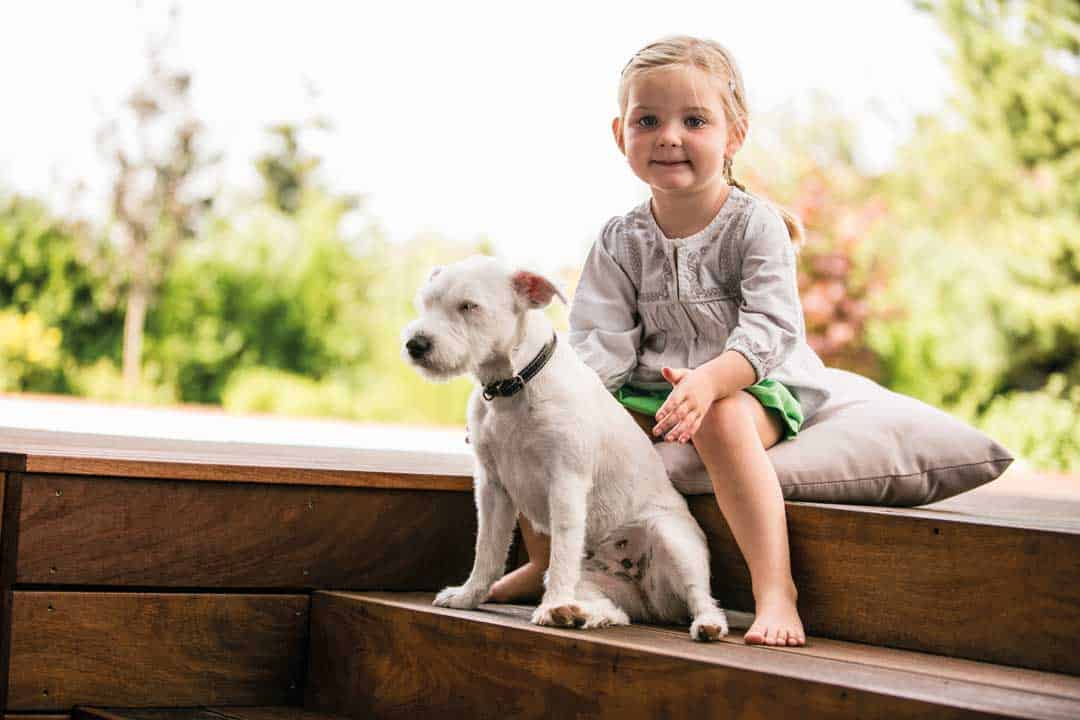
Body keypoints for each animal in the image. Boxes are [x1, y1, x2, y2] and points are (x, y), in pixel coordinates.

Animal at [401, 255, 738, 639]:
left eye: (469, 306)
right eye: (426, 302)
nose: (416, 344)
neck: (514, 385)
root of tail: (648, 598)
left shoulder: (565, 482)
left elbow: (562, 548)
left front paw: (549, 607)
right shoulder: (492, 488)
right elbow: (487, 549)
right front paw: (468, 596)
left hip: (674, 541)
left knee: (701, 596)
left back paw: (707, 623)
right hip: (598, 584)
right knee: (615, 611)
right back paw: (580, 614)